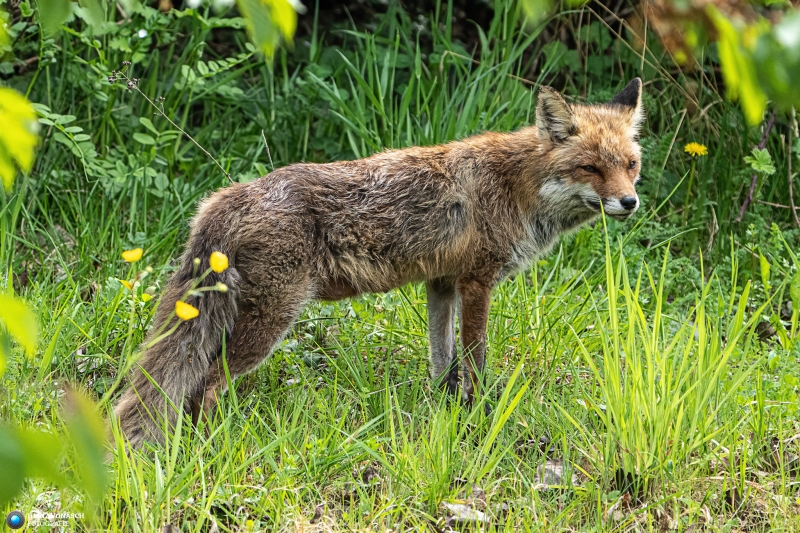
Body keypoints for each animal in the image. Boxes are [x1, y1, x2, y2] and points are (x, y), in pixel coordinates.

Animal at [114, 78, 645, 448]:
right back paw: (216, 446)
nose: (630, 202)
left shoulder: (441, 283)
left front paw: (445, 413)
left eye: (630, 165)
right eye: (590, 168)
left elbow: (442, 361)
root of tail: (226, 197)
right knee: (204, 386)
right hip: (270, 321)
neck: (518, 186)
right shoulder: (477, 281)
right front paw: (478, 416)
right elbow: (474, 361)